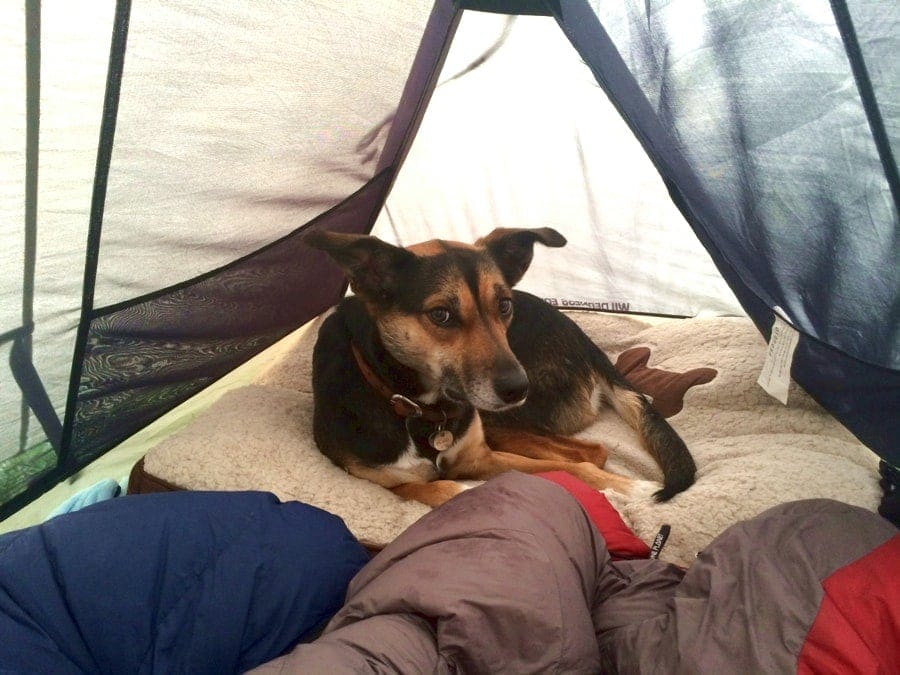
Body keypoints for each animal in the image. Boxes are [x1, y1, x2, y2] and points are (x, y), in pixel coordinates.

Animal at [304, 227, 696, 508]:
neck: (419, 407)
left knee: (591, 453)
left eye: (504, 305)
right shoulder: (390, 483)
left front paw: (627, 488)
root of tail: (582, 338)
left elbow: (570, 467)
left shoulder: (481, 456)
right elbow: (437, 489)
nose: (519, 389)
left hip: (500, 420)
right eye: (441, 314)